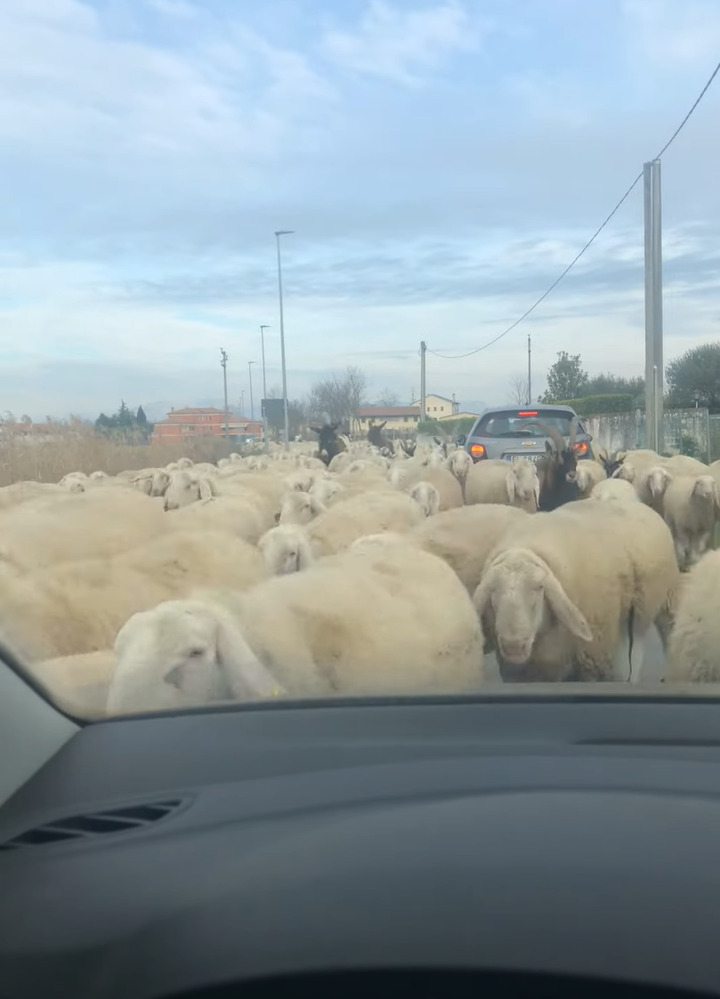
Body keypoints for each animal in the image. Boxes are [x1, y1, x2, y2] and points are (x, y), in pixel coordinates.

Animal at [476, 504, 676, 684]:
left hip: (662, 599)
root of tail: (643, 506)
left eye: (539, 587)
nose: (513, 647)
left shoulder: (593, 656)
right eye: (492, 590)